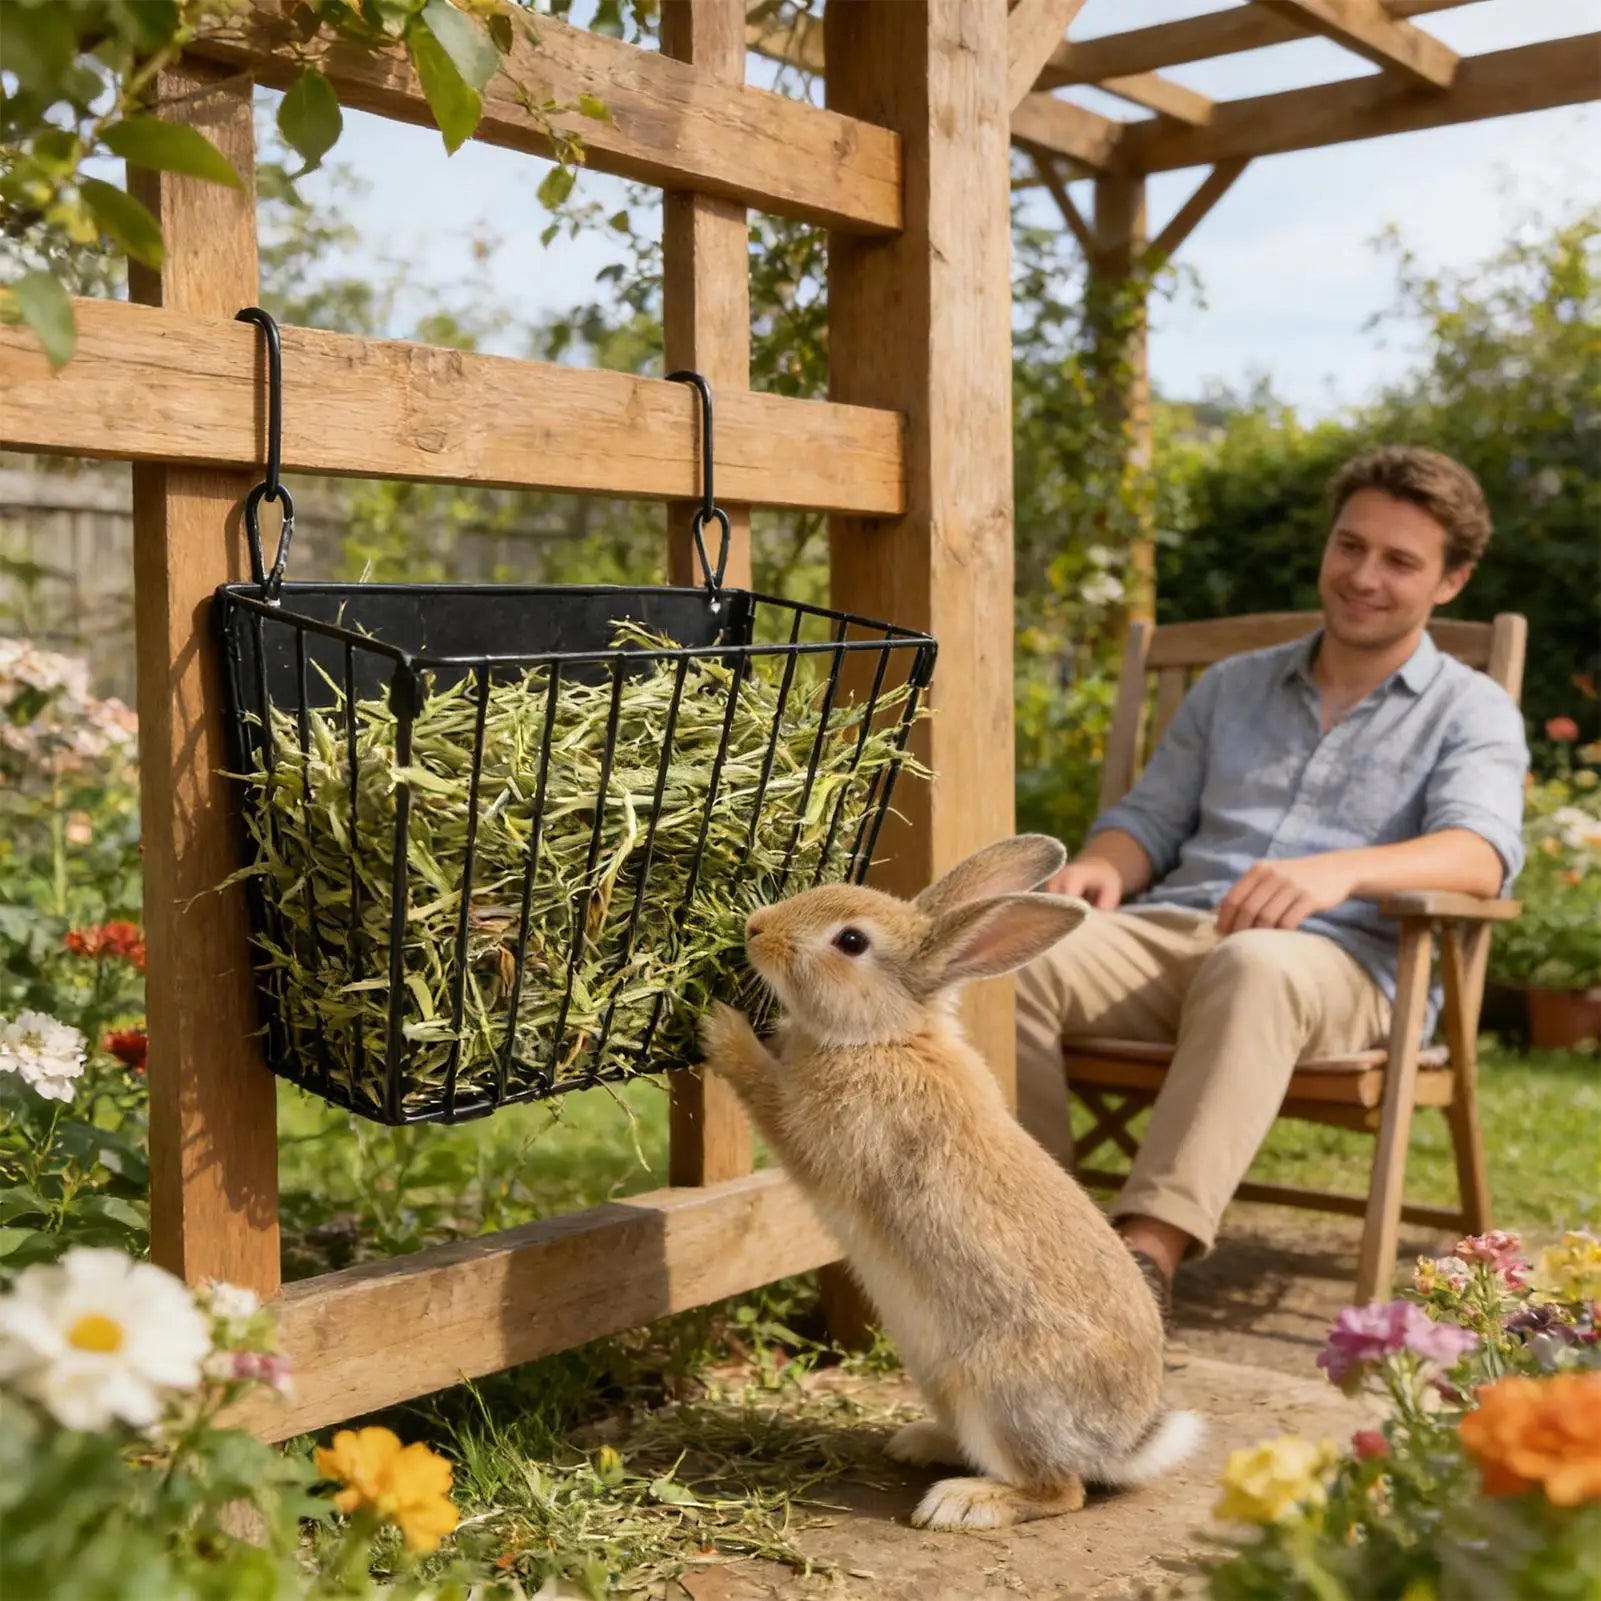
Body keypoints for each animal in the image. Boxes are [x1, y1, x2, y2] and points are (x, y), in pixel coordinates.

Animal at [697, 833, 1203, 1532]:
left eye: (850, 941)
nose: (756, 928)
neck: (883, 1036)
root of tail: (1124, 1444)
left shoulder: (818, 1131)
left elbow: (767, 1098)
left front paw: (721, 1027)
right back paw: (920, 1444)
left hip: (998, 1394)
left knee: (1061, 1491)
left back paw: (962, 1503)